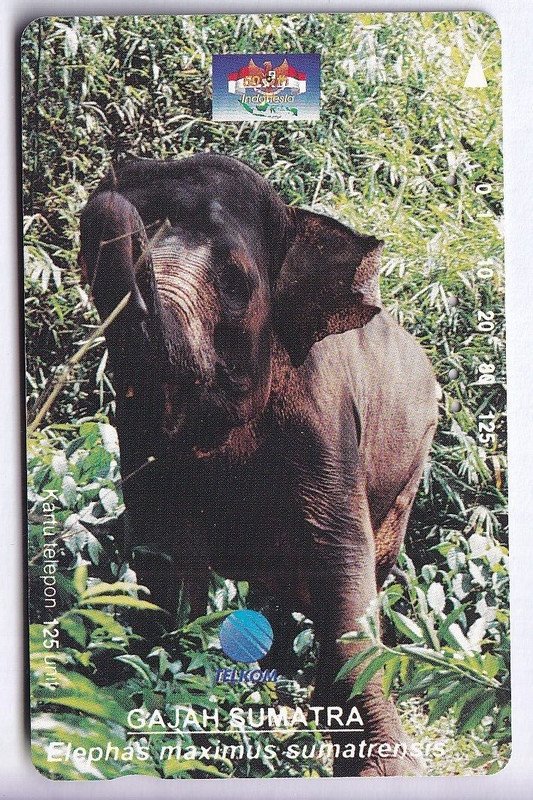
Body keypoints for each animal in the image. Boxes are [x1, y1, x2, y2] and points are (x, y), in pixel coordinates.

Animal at [79, 153, 438, 777]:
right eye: (87, 261)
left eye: (236, 283)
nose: (115, 186)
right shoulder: (135, 419)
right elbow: (167, 551)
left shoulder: (324, 412)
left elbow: (342, 557)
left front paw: (384, 771)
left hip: (412, 465)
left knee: (373, 561)